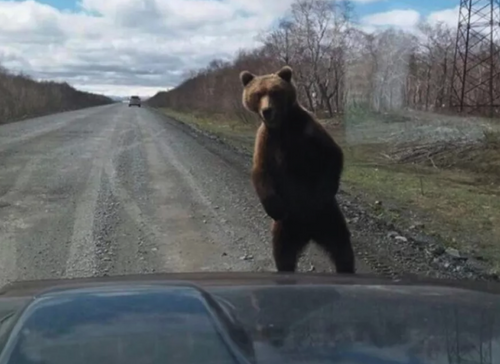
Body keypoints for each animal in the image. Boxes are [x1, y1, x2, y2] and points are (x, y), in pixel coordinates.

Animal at [239, 66, 354, 272]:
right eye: (258, 93)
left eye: (275, 92)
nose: (267, 111)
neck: (282, 126)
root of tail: (308, 231)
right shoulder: (266, 141)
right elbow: (261, 172)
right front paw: (273, 207)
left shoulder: (307, 131)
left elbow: (332, 155)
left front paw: (321, 193)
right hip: (285, 227)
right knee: (283, 254)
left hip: (330, 218)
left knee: (341, 248)